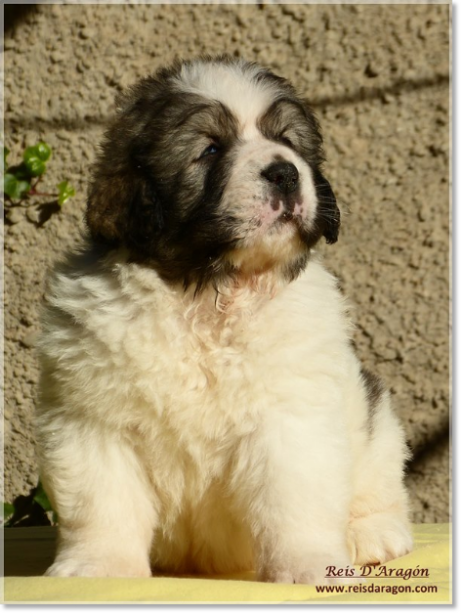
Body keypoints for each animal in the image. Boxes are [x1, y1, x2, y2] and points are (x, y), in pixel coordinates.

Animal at [36, 56, 414, 584]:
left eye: (288, 141)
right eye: (211, 149)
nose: (284, 173)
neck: (211, 293)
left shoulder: (290, 418)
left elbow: (295, 501)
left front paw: (310, 566)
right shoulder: (94, 421)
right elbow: (102, 503)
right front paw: (99, 567)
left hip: (376, 425)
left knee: (381, 488)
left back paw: (371, 536)